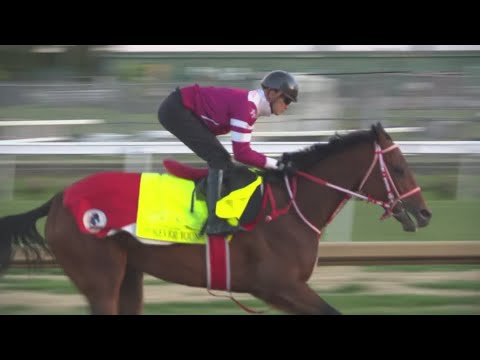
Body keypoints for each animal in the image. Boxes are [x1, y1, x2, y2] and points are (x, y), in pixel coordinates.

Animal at [0, 122, 432, 314]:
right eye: (398, 167)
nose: (424, 213)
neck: (291, 207)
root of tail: (59, 198)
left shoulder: (279, 292)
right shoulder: (279, 285)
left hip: (129, 275)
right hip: (99, 278)